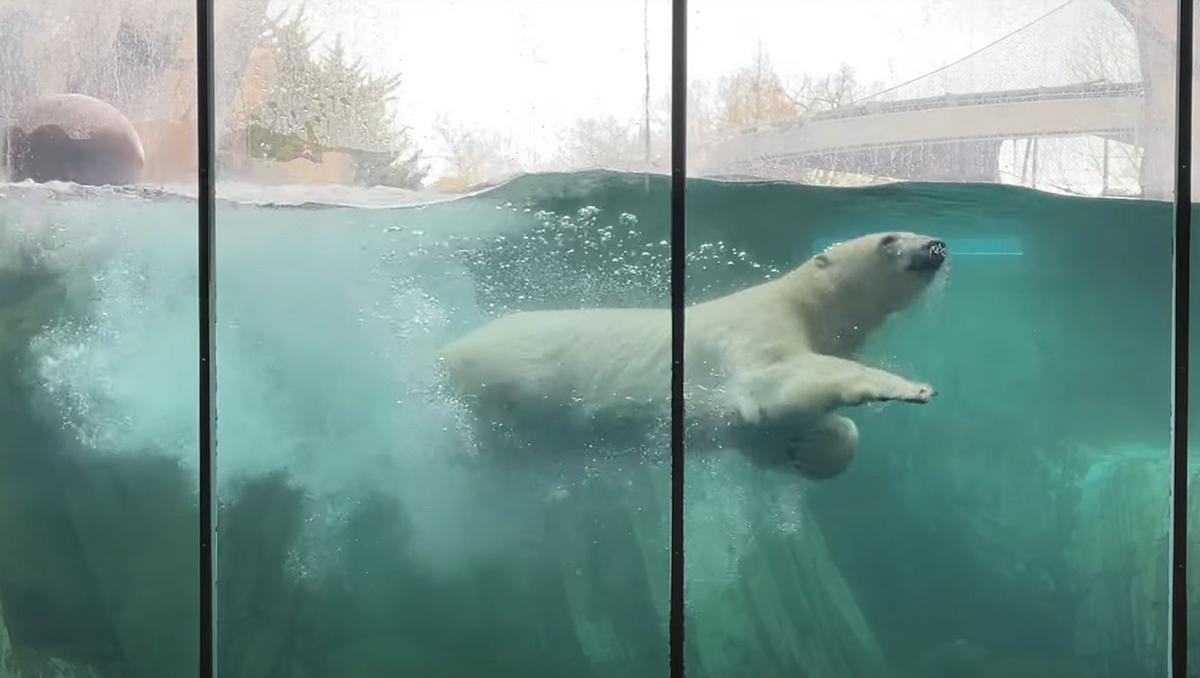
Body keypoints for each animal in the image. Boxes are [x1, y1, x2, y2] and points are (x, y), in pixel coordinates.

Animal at [437, 231, 947, 479]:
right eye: (888, 240)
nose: (936, 246)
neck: (803, 306)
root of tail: (448, 350)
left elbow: (769, 433)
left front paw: (807, 450)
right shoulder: (755, 329)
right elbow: (775, 382)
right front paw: (910, 386)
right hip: (508, 373)